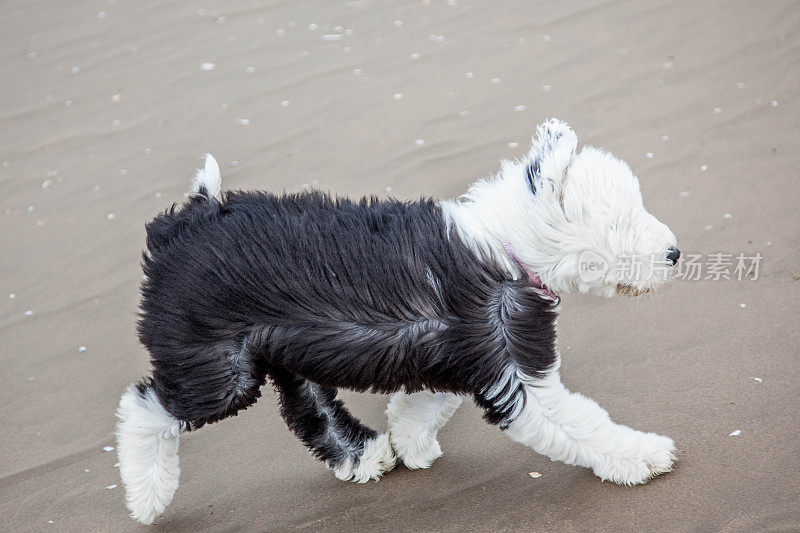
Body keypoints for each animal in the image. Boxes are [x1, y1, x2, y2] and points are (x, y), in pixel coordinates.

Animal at [117, 119, 680, 524]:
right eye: (622, 220)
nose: (674, 253)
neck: (508, 245)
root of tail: (187, 219)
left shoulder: (458, 355)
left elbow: (425, 403)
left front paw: (412, 443)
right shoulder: (515, 368)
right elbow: (580, 422)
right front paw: (643, 456)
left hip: (283, 347)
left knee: (309, 407)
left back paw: (365, 456)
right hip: (216, 365)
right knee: (144, 408)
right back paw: (147, 496)